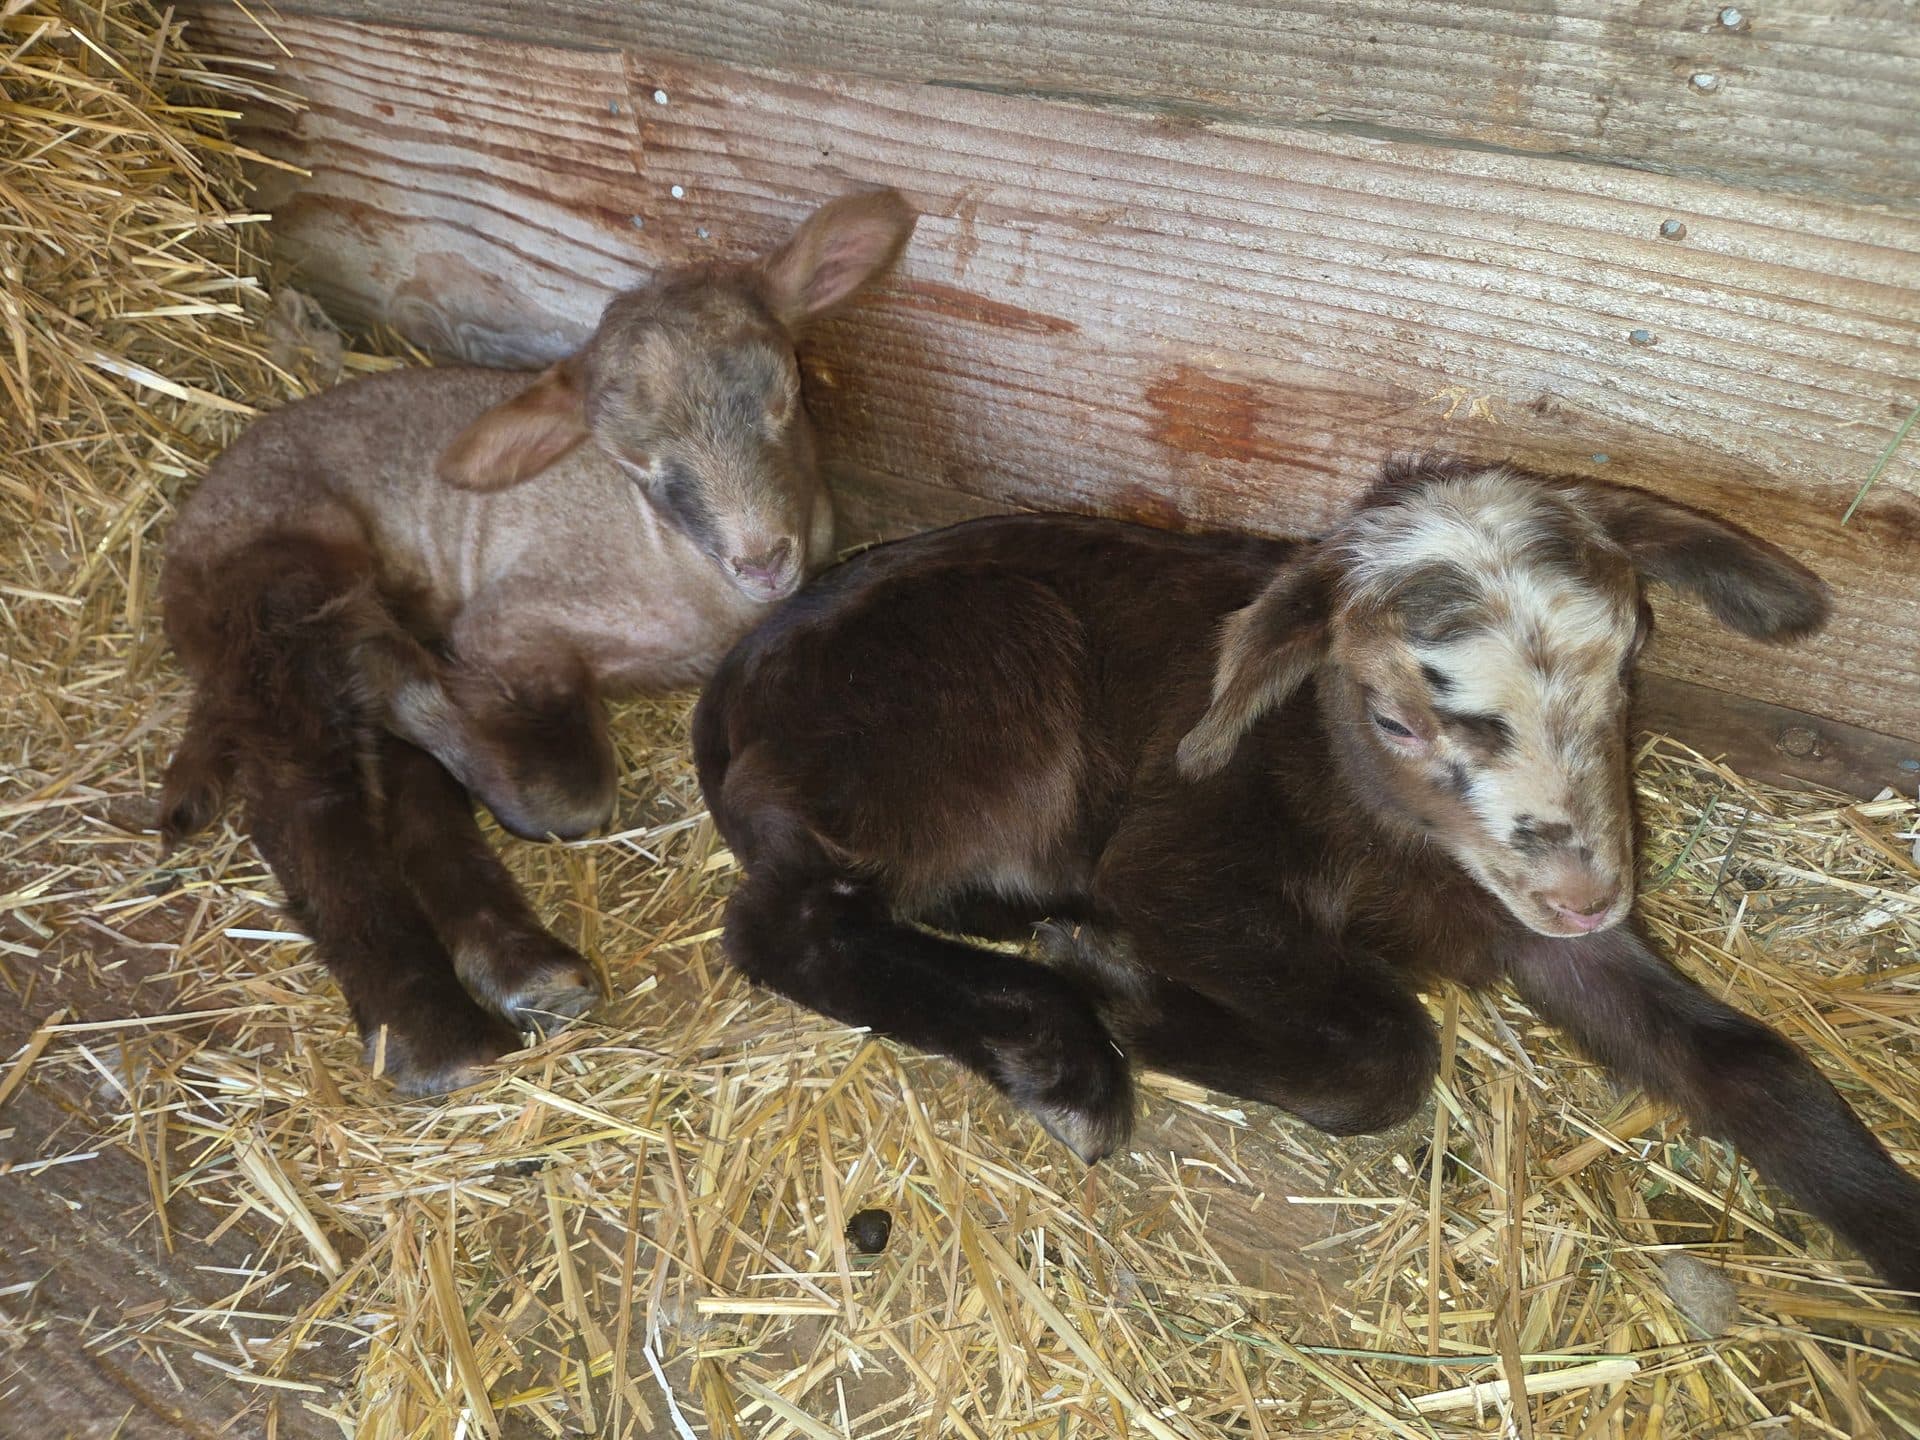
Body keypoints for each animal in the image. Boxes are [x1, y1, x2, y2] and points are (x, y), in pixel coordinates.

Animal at [159, 190, 917, 1095]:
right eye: (634, 460)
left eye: (788, 393)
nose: (763, 559)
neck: (680, 574)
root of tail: (184, 544)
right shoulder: (510, 622)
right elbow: (572, 792)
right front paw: (415, 688)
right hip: (276, 586)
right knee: (307, 802)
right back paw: (435, 1035)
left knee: (401, 782)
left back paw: (527, 972)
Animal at [694, 456, 1920, 1292]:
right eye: (1396, 720)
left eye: (1629, 668)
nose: (1584, 899)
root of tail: (735, 677)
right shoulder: (1180, 863)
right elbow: (1387, 1049)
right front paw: (1123, 992)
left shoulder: (1531, 924)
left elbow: (1755, 1065)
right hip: (990, 688)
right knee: (782, 924)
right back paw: (1060, 1055)